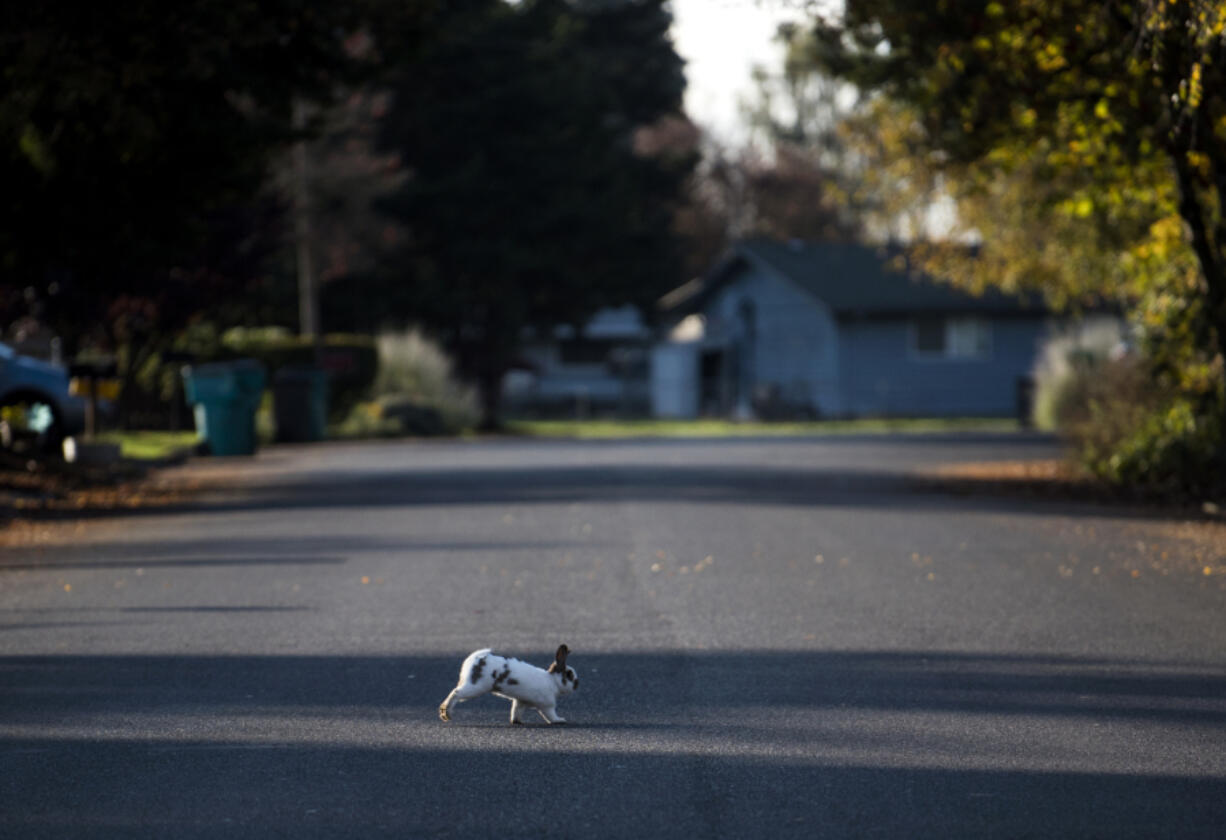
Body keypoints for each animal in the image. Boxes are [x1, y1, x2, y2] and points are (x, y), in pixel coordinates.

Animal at [438, 647, 576, 725]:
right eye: (569, 675)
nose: (577, 685)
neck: (552, 681)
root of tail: (474, 659)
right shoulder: (547, 705)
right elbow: (551, 715)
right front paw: (560, 720)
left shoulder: (520, 701)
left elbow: (516, 711)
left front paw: (517, 722)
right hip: (475, 687)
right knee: (455, 693)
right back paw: (446, 713)